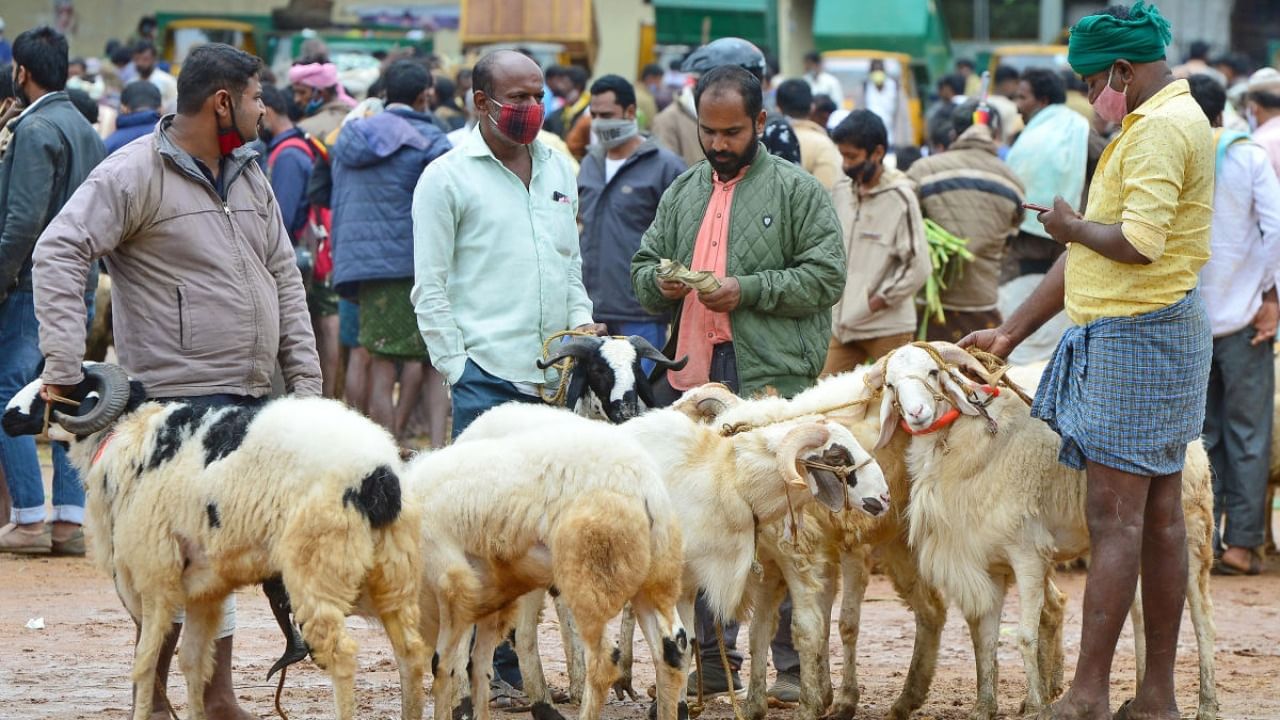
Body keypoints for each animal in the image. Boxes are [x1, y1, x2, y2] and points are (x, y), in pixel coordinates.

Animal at [2, 363, 427, 717]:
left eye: (57, 391)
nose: (7, 416)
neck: (126, 435)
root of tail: (379, 475)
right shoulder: (205, 589)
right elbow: (193, 662)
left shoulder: (155, 578)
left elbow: (144, 663)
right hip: (392, 573)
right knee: (410, 653)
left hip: (317, 568)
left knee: (341, 655)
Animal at [407, 415, 691, 720]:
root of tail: (644, 484)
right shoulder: (490, 593)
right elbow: (478, 664)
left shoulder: (451, 581)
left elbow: (443, 664)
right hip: (656, 578)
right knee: (671, 649)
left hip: (589, 580)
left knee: (603, 660)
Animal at [865, 340, 1213, 717]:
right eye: (890, 385)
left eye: (933, 372)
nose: (916, 413)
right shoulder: (986, 561)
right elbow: (985, 638)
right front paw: (984, 706)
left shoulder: (1027, 554)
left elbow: (1023, 636)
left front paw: (1035, 705)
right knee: (1138, 612)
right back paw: (1137, 697)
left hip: (1192, 531)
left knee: (1201, 616)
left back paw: (1207, 703)